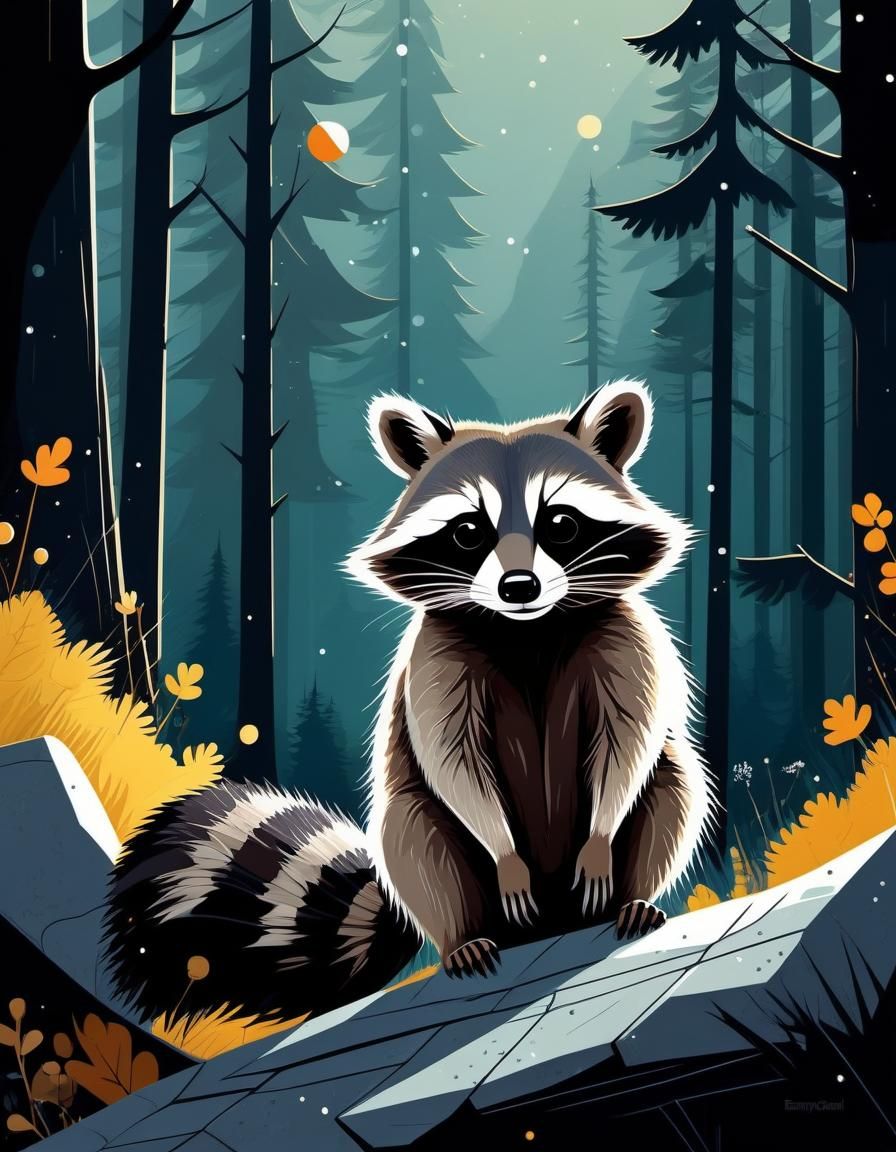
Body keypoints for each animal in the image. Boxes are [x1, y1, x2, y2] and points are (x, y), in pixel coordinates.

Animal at [105, 381, 712, 1022]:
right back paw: (464, 937)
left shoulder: (626, 638)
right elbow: (453, 762)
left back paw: (634, 897)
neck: (527, 630)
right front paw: (505, 855)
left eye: (562, 524)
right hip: (432, 852)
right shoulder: (434, 657)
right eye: (470, 531)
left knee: (674, 781)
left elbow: (630, 743)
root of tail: (552, 924)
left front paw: (600, 838)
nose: (518, 587)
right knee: (416, 834)